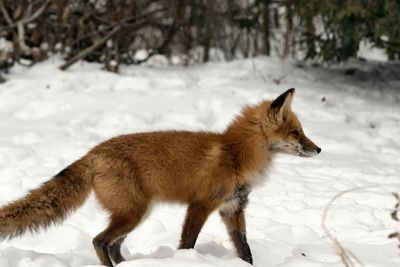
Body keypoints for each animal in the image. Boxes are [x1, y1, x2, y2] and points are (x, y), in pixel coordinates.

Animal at [0, 88, 318, 266]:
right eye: (296, 133)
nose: (319, 149)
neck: (235, 154)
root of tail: (93, 152)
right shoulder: (200, 205)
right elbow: (187, 244)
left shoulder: (233, 209)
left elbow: (246, 251)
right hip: (133, 213)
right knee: (100, 241)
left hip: (137, 213)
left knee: (113, 245)